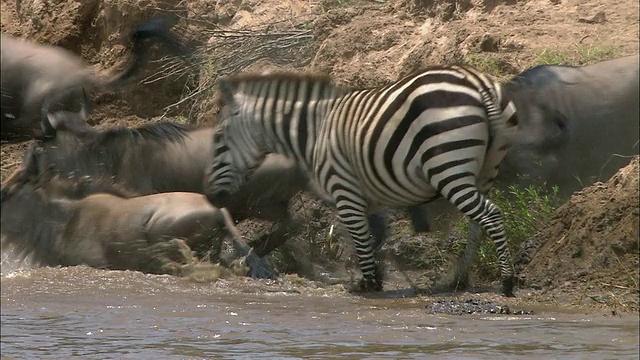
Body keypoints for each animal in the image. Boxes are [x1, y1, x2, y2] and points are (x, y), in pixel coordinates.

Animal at [204, 64, 552, 296]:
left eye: (219, 140)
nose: (211, 198)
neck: (314, 132)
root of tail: (477, 82)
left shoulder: (344, 190)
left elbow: (358, 236)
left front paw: (367, 283)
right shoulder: (369, 195)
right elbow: (374, 235)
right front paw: (377, 277)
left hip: (447, 166)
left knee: (489, 215)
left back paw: (506, 282)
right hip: (485, 170)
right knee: (476, 224)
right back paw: (457, 280)